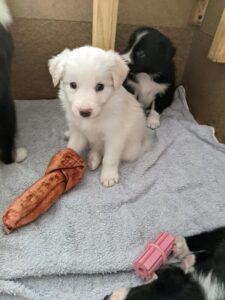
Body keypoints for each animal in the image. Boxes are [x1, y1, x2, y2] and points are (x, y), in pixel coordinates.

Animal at [48, 45, 149, 186]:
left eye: (100, 86)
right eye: (73, 85)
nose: (84, 112)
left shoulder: (114, 137)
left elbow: (109, 158)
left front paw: (108, 175)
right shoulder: (78, 132)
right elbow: (72, 147)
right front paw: (64, 163)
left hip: (130, 151)